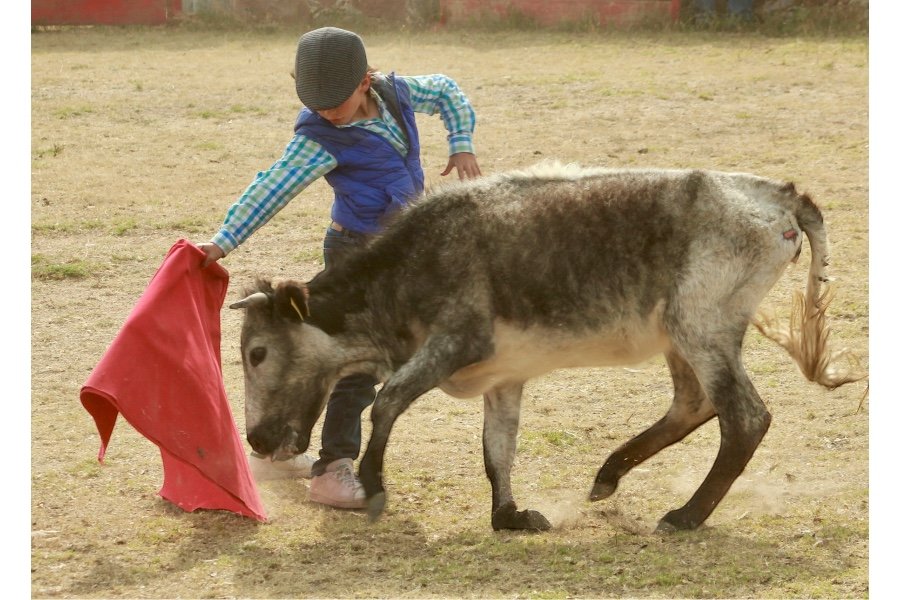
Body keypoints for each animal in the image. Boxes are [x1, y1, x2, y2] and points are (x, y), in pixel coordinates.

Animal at [230, 163, 863, 532]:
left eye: (257, 352)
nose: (255, 439)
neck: (402, 270)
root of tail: (779, 197)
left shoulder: (456, 342)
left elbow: (387, 401)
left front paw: (376, 487)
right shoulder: (502, 377)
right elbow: (497, 449)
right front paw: (508, 516)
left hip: (701, 328)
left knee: (744, 417)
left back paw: (686, 515)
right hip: (682, 335)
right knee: (694, 404)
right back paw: (610, 475)